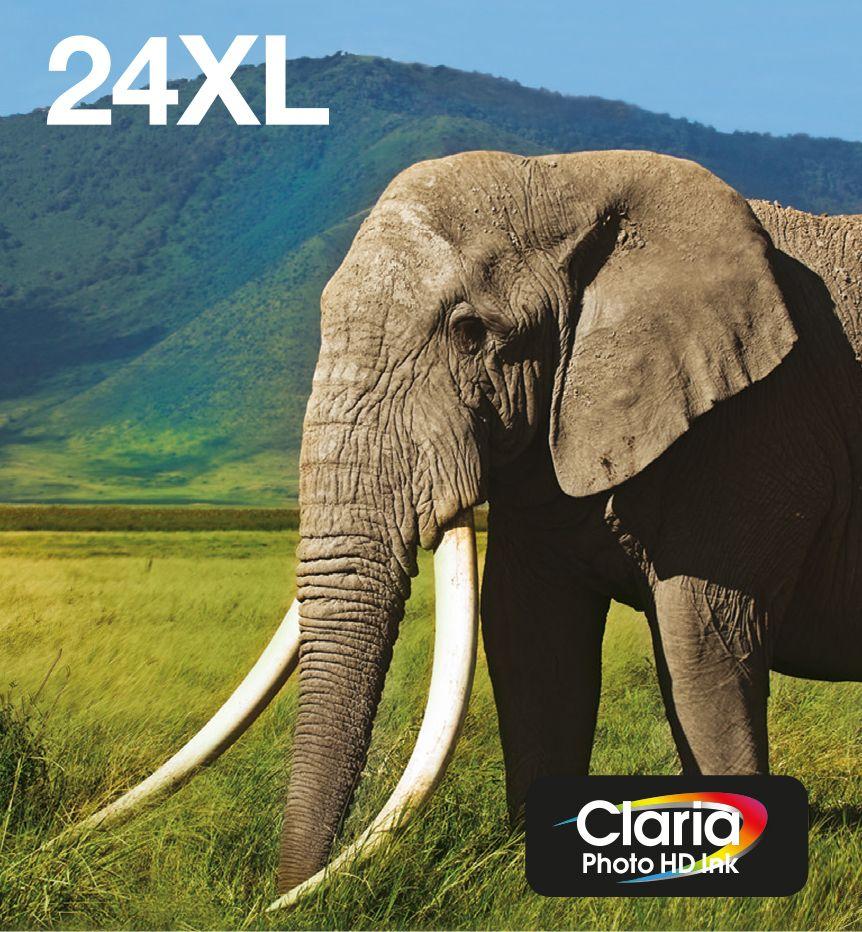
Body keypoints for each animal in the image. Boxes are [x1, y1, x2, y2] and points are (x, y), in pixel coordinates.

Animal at [76, 150, 862, 907]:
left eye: (470, 333)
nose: (275, 898)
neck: (567, 175)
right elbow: (529, 637)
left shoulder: (757, 423)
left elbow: (705, 641)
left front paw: (734, 891)